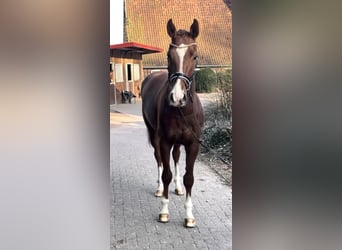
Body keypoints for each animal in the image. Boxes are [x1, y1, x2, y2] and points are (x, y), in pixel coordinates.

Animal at [141, 18, 203, 228]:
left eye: (194, 56)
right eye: (169, 56)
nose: (177, 97)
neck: (182, 110)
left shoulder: (193, 144)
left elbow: (189, 178)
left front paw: (189, 216)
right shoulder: (164, 141)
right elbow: (166, 172)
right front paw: (164, 211)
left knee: (176, 157)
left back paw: (178, 187)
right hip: (154, 135)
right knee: (159, 160)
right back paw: (160, 188)